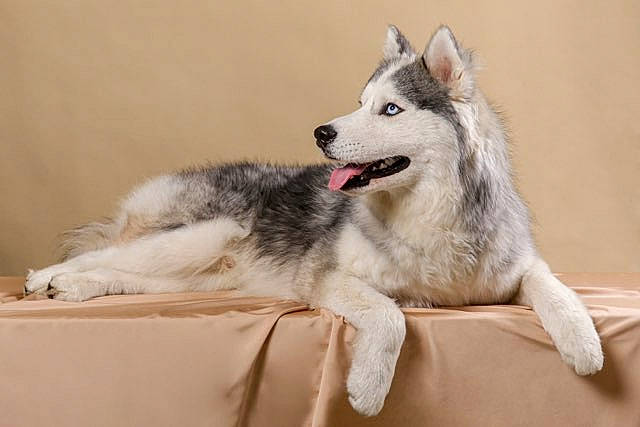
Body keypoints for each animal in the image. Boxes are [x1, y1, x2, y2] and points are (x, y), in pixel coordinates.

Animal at [25, 25, 603, 416]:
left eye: (390, 109)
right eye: (360, 102)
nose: (321, 132)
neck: (428, 212)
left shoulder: (516, 267)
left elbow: (555, 288)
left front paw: (583, 345)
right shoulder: (327, 277)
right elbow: (390, 315)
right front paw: (368, 389)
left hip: (207, 277)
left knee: (123, 274)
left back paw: (76, 289)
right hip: (201, 237)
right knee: (98, 252)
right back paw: (45, 279)